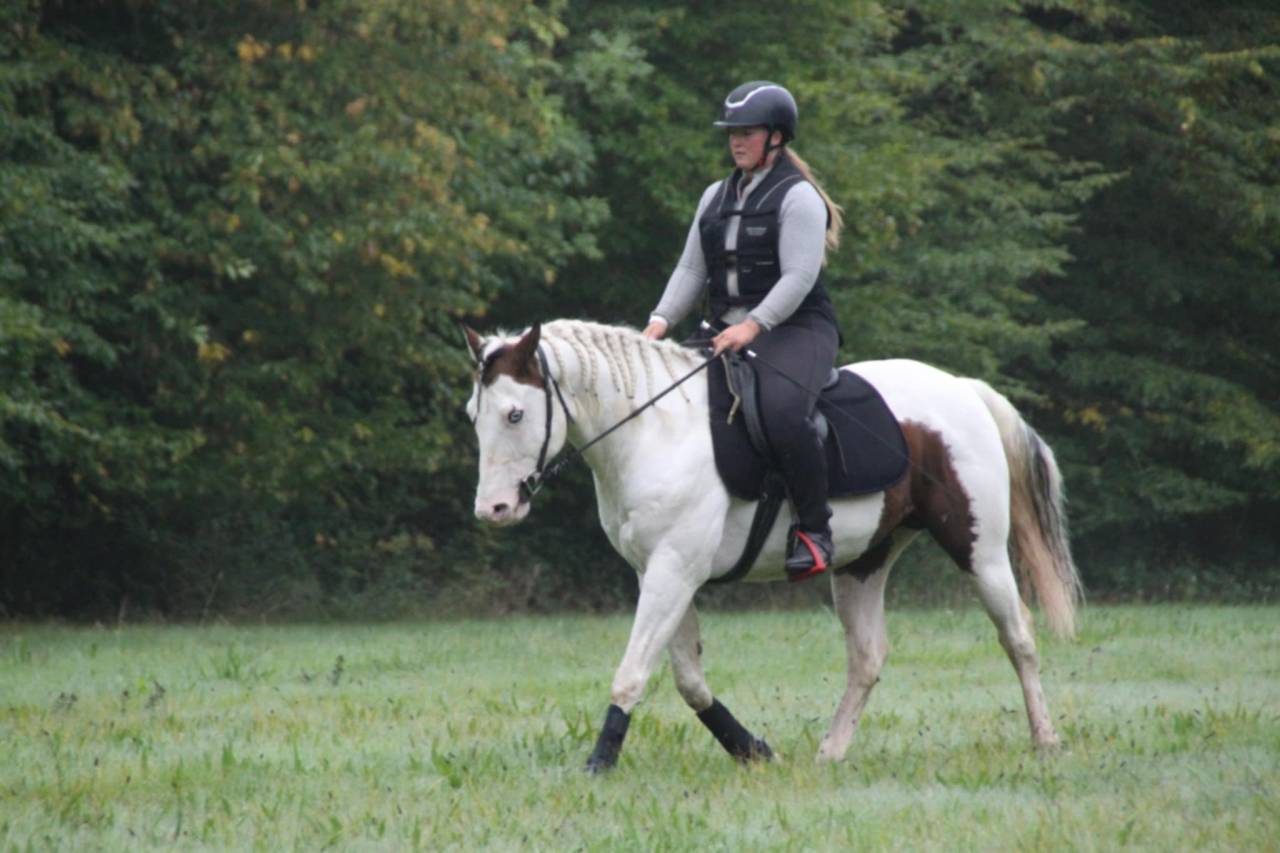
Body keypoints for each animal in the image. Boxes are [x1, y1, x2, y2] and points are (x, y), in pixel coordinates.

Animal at [464, 318, 1082, 772]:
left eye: (515, 413)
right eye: (475, 415)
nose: (493, 510)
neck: (654, 432)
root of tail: (960, 389)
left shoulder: (673, 570)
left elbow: (633, 671)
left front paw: (599, 762)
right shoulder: (659, 573)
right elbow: (689, 681)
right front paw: (752, 750)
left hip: (979, 551)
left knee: (1018, 637)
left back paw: (1046, 739)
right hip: (863, 562)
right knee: (867, 657)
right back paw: (830, 753)